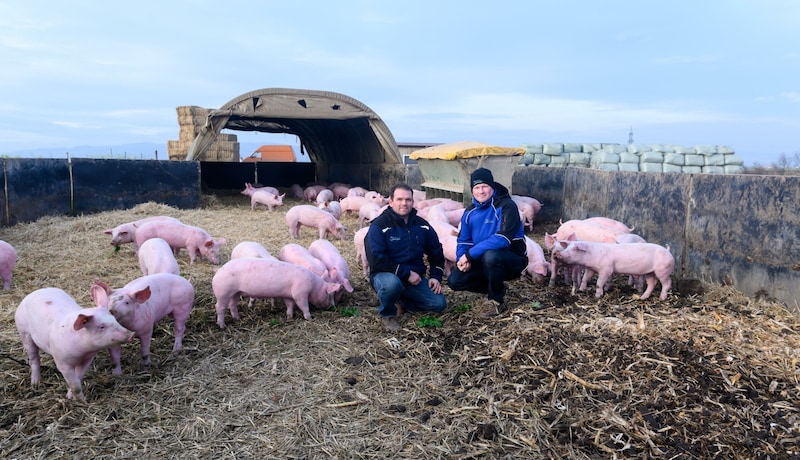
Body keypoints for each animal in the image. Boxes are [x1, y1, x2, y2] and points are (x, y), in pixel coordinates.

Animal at [211, 258, 340, 328]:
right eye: (329, 295)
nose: (333, 306)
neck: (314, 285)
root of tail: (219, 270)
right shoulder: (299, 293)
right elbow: (304, 306)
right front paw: (310, 318)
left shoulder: (288, 295)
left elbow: (290, 305)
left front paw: (289, 316)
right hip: (223, 292)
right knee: (219, 307)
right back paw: (222, 325)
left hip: (235, 293)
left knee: (232, 304)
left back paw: (237, 318)